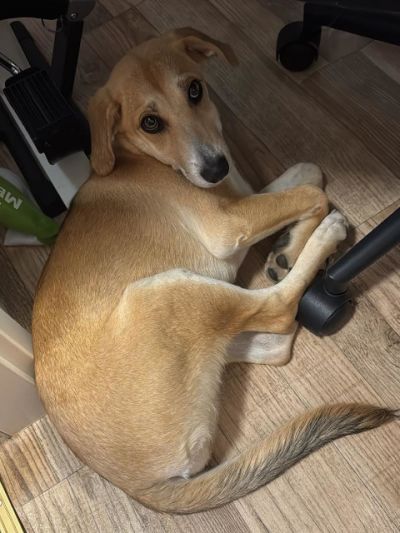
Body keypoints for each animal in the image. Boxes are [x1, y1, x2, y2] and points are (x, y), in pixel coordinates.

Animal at [32, 28, 397, 513]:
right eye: (150, 123)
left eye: (194, 90)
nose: (215, 167)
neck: (144, 158)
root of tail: (140, 487)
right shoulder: (228, 224)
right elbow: (313, 193)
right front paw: (302, 239)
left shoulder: (243, 198)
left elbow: (309, 172)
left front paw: (285, 249)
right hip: (165, 292)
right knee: (278, 311)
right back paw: (324, 242)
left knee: (273, 341)